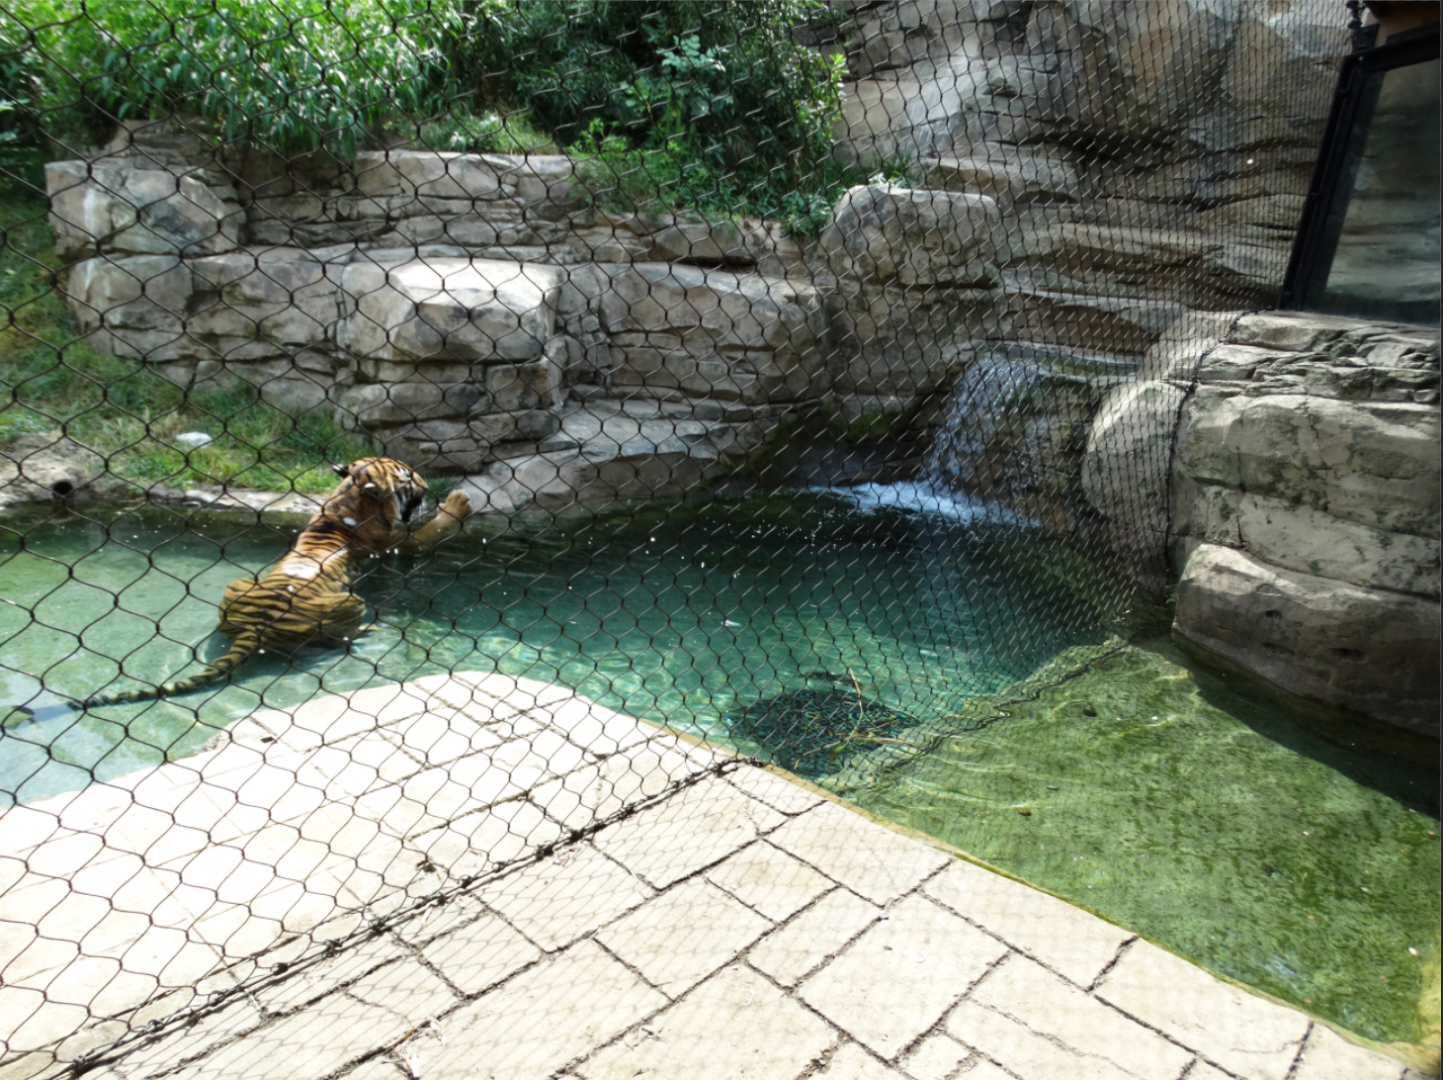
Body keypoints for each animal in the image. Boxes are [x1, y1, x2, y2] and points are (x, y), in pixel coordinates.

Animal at [5, 457, 471, 725]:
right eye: (408, 476)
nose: (427, 482)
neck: (346, 502)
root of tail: (255, 627)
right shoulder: (399, 543)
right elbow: (431, 529)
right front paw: (459, 501)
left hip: (236, 584)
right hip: (349, 601)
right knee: (338, 637)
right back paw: (366, 633)